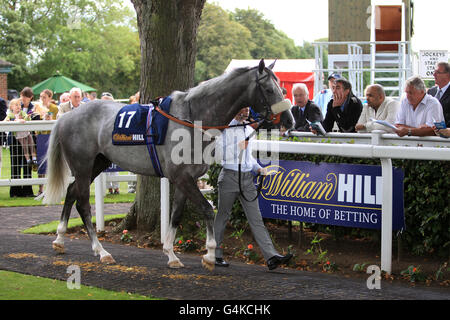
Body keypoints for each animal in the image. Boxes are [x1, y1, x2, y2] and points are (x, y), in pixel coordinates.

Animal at [43, 58, 292, 268]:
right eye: (269, 89)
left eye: (282, 88)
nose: (289, 120)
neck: (193, 119)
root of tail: (67, 116)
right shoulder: (181, 177)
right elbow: (206, 209)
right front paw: (210, 254)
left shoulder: (185, 179)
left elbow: (176, 215)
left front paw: (171, 255)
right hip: (83, 165)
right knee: (83, 204)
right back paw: (101, 251)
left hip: (98, 163)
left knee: (71, 191)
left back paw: (60, 239)